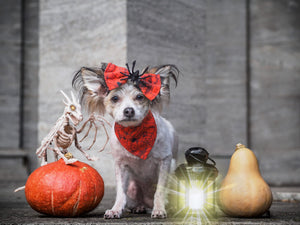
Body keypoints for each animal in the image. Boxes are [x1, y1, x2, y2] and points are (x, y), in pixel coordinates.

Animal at [72, 61, 178, 218]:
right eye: (115, 98)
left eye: (140, 97)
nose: (128, 110)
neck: (134, 135)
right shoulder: (121, 165)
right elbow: (120, 192)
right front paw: (116, 209)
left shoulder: (165, 161)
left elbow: (159, 190)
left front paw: (159, 209)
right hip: (133, 188)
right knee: (134, 201)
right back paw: (138, 207)